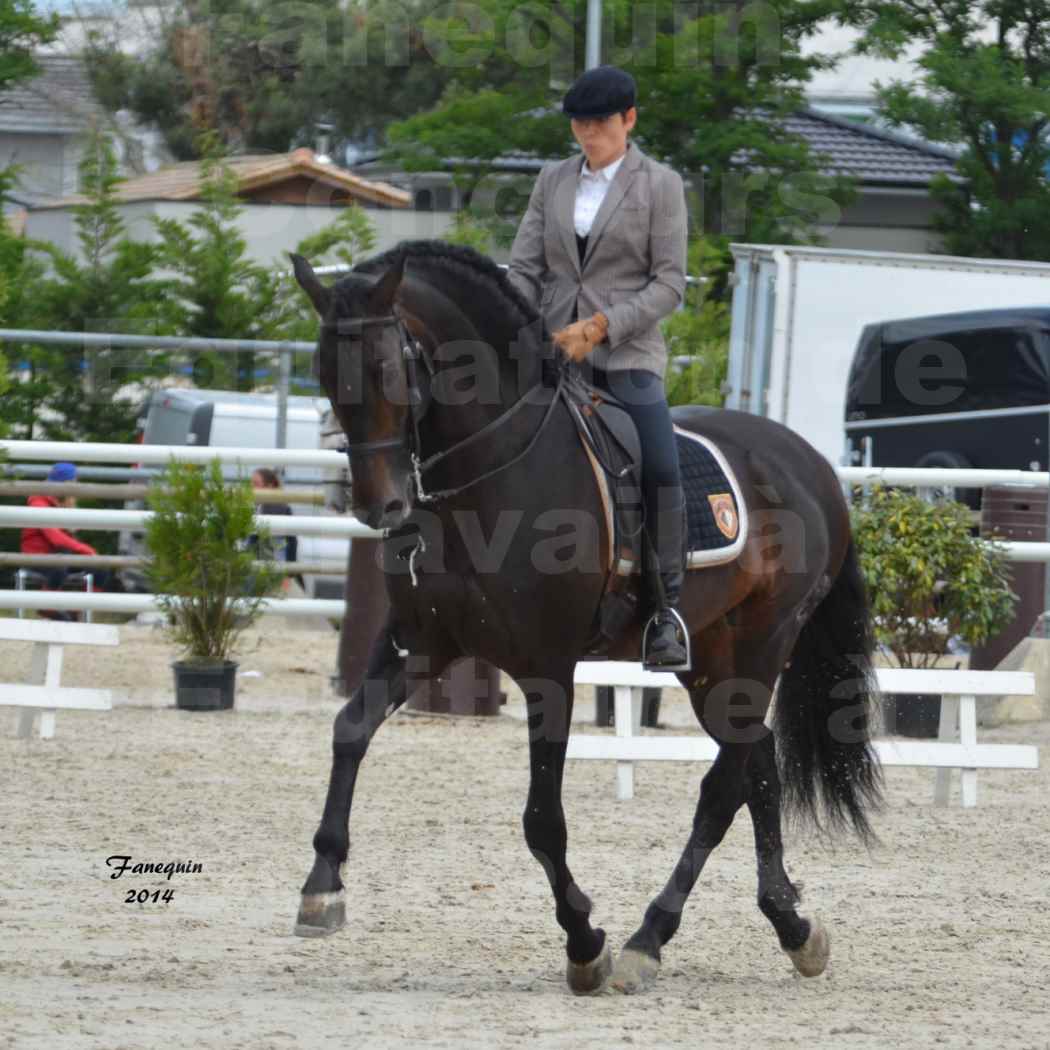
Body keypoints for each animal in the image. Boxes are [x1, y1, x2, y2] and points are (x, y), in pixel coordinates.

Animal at [287, 241, 877, 995]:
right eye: (322, 374)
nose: (377, 507)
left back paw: (647, 940)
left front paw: (584, 944)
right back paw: (794, 928)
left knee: (722, 788)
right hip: (710, 661)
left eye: (389, 369)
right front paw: (322, 885)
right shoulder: (419, 642)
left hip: (764, 642)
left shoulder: (548, 669)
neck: (488, 472)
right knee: (759, 764)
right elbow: (349, 731)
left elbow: (542, 820)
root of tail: (814, 464)